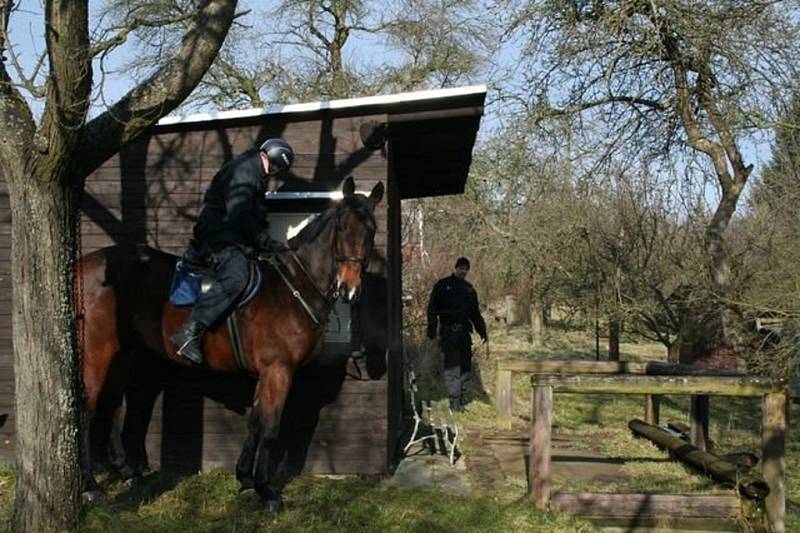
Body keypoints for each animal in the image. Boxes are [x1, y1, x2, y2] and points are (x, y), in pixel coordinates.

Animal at [78, 177, 384, 504]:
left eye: (371, 231)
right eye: (342, 228)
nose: (349, 288)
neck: (294, 288)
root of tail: (85, 265)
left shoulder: (267, 373)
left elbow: (255, 423)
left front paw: (246, 480)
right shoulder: (279, 370)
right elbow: (270, 426)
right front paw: (265, 489)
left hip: (124, 353)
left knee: (112, 403)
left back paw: (125, 471)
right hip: (98, 351)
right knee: (86, 407)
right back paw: (90, 486)